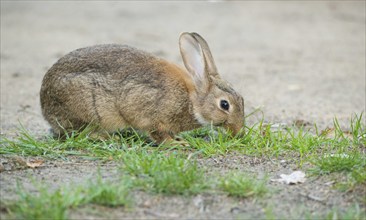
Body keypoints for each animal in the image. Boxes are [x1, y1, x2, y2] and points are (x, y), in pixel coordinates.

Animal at [40, 31, 244, 144]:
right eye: (224, 105)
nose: (238, 131)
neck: (191, 101)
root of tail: (44, 106)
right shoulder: (148, 112)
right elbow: (157, 134)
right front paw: (175, 144)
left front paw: (179, 140)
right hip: (88, 111)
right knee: (81, 133)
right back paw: (109, 138)